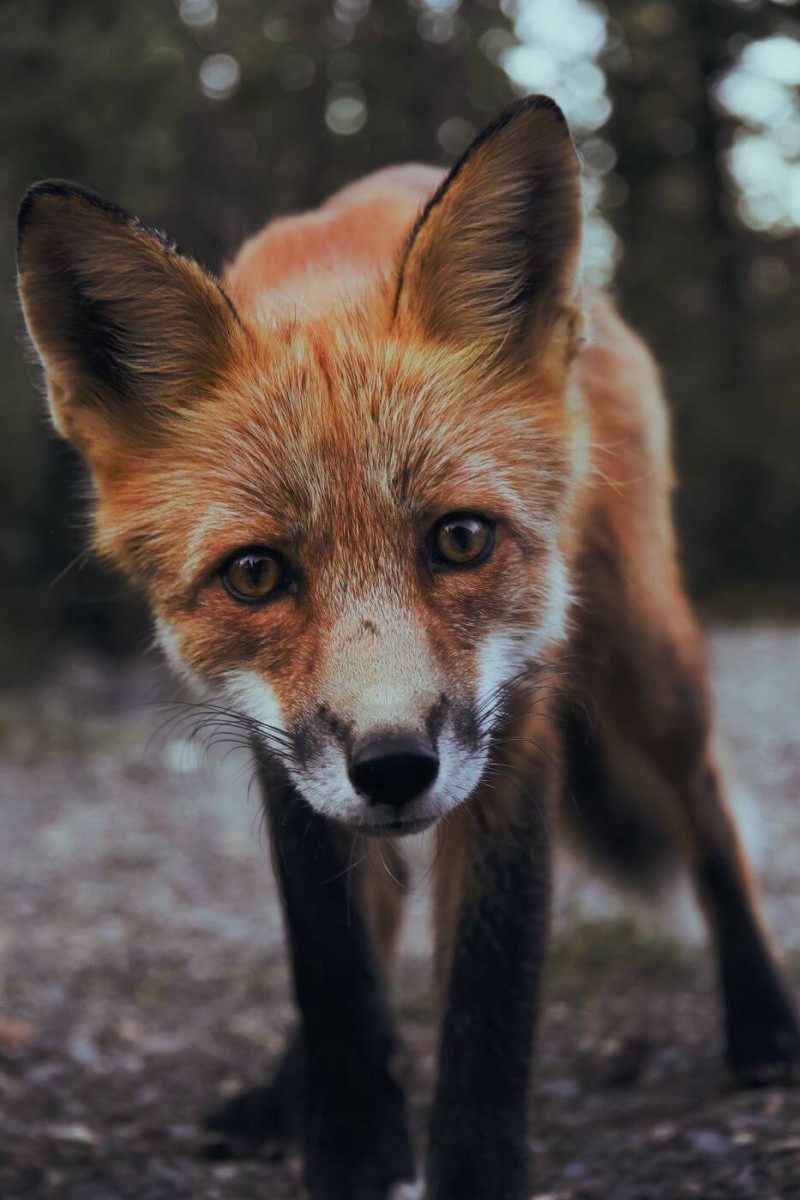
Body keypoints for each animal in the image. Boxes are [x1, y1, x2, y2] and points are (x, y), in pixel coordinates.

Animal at [16, 95, 800, 1200]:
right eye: (254, 574)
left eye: (460, 539)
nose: (393, 768)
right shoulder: (280, 751)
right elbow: (335, 968)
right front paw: (347, 1147)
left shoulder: (515, 725)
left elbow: (489, 993)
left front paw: (469, 1171)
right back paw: (285, 1088)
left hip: (645, 658)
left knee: (707, 811)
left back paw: (762, 1021)